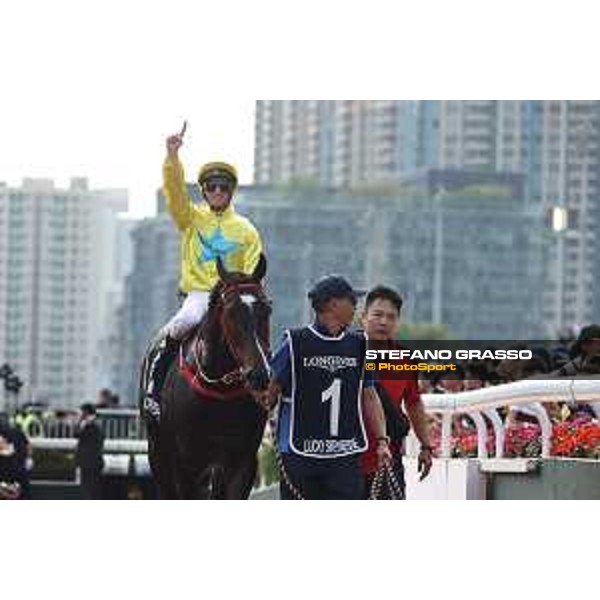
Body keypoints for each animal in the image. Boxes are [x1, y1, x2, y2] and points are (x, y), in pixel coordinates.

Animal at [139, 255, 270, 500]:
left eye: (267, 308)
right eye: (231, 312)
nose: (259, 374)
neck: (218, 389)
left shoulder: (242, 462)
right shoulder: (184, 464)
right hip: (158, 452)